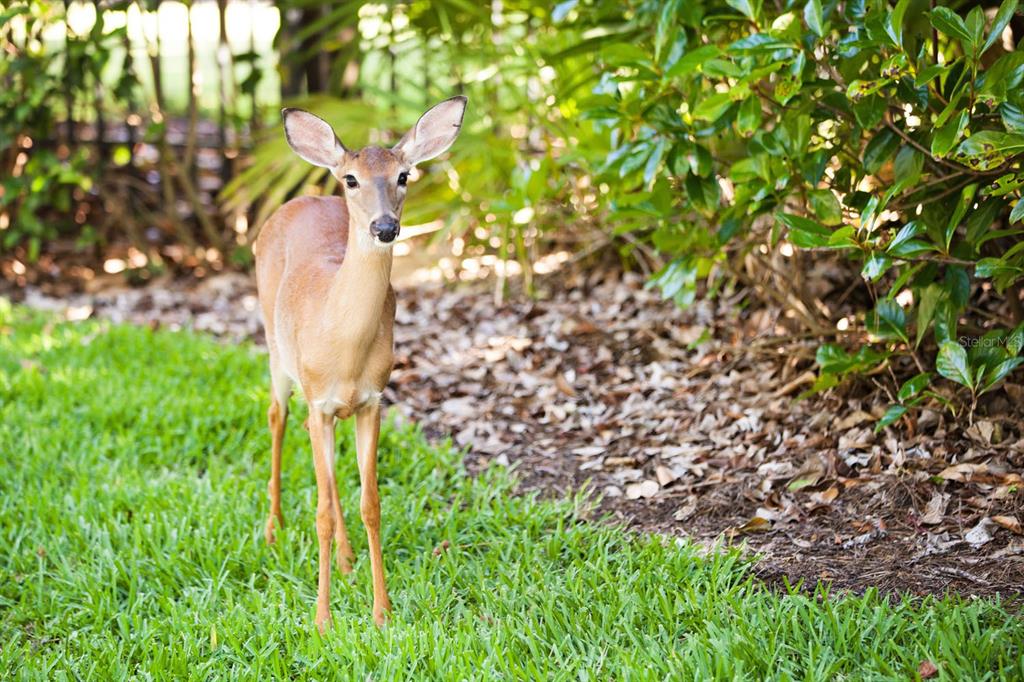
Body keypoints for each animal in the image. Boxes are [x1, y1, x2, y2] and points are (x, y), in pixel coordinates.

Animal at [252, 96, 467, 629]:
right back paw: (273, 529)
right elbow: (322, 512)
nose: (385, 226)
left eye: (404, 175)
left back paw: (348, 562)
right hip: (275, 349)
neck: (342, 344)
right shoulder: (319, 401)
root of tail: (295, 202)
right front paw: (322, 621)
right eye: (351, 179)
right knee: (277, 417)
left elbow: (369, 503)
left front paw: (382, 612)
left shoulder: (372, 401)